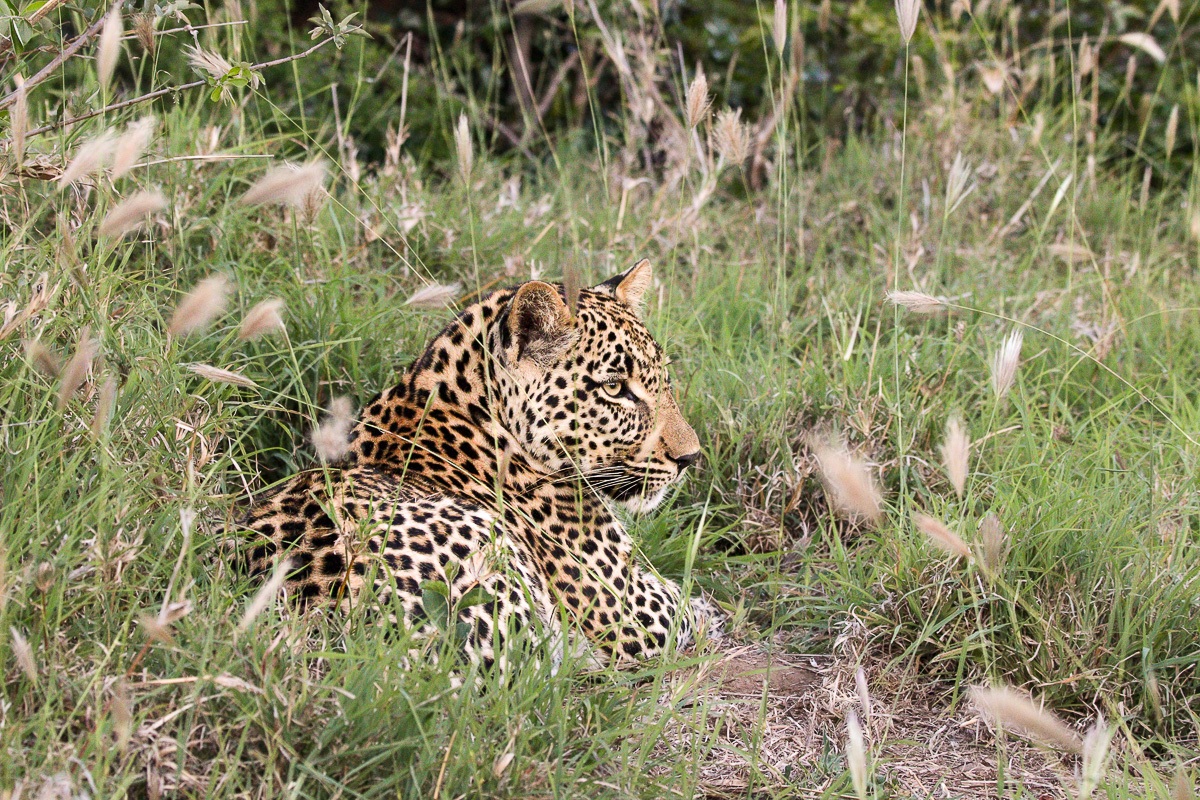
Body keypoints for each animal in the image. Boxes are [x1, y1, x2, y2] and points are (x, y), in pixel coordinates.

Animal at [240, 259, 721, 671]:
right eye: (615, 388)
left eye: (664, 379)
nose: (690, 457)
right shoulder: (628, 611)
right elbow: (683, 600)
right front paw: (710, 611)